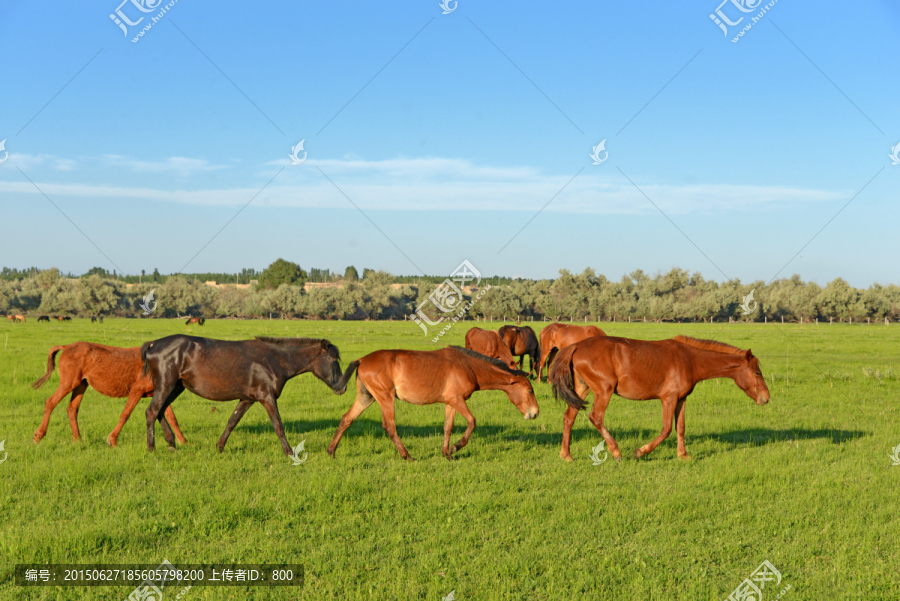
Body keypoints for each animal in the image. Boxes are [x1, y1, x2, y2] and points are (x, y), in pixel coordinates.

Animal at [31, 342, 187, 446]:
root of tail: (67, 346)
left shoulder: (159, 393)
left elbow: (172, 418)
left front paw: (183, 441)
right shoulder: (137, 390)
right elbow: (125, 414)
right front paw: (112, 440)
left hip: (81, 384)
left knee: (72, 408)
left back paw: (77, 440)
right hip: (69, 383)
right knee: (50, 402)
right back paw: (39, 435)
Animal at [141, 332, 358, 454]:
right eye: (333, 360)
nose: (343, 388)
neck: (275, 359)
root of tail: (153, 344)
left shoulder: (246, 400)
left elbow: (231, 422)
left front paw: (220, 447)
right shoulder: (267, 398)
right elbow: (278, 426)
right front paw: (289, 452)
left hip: (176, 387)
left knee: (160, 411)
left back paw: (171, 443)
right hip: (166, 386)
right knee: (152, 412)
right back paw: (151, 448)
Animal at [326, 346, 536, 460]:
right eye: (529, 390)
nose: (535, 413)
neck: (468, 366)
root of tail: (362, 359)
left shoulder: (450, 403)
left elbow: (448, 427)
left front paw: (446, 453)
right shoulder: (457, 400)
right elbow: (472, 422)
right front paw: (455, 447)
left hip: (366, 397)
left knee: (346, 419)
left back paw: (331, 451)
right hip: (385, 397)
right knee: (389, 426)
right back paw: (407, 456)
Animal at [552, 336, 768, 462]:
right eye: (757, 373)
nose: (766, 398)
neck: (689, 359)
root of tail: (577, 345)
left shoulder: (681, 400)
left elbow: (680, 428)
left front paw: (683, 455)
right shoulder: (668, 399)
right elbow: (666, 429)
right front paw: (640, 451)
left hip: (582, 390)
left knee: (568, 417)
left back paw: (566, 455)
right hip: (603, 392)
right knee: (596, 417)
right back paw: (616, 452)